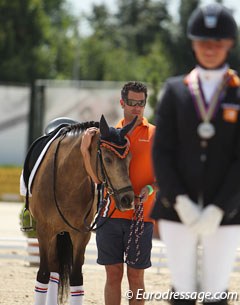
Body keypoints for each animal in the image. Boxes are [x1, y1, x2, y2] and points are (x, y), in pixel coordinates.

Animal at [23, 114, 136, 304]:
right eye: (107, 159)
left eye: (129, 159)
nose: (127, 200)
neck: (66, 179)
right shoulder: (43, 231)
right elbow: (43, 275)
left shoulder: (81, 234)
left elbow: (76, 278)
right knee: (51, 270)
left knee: (56, 269)